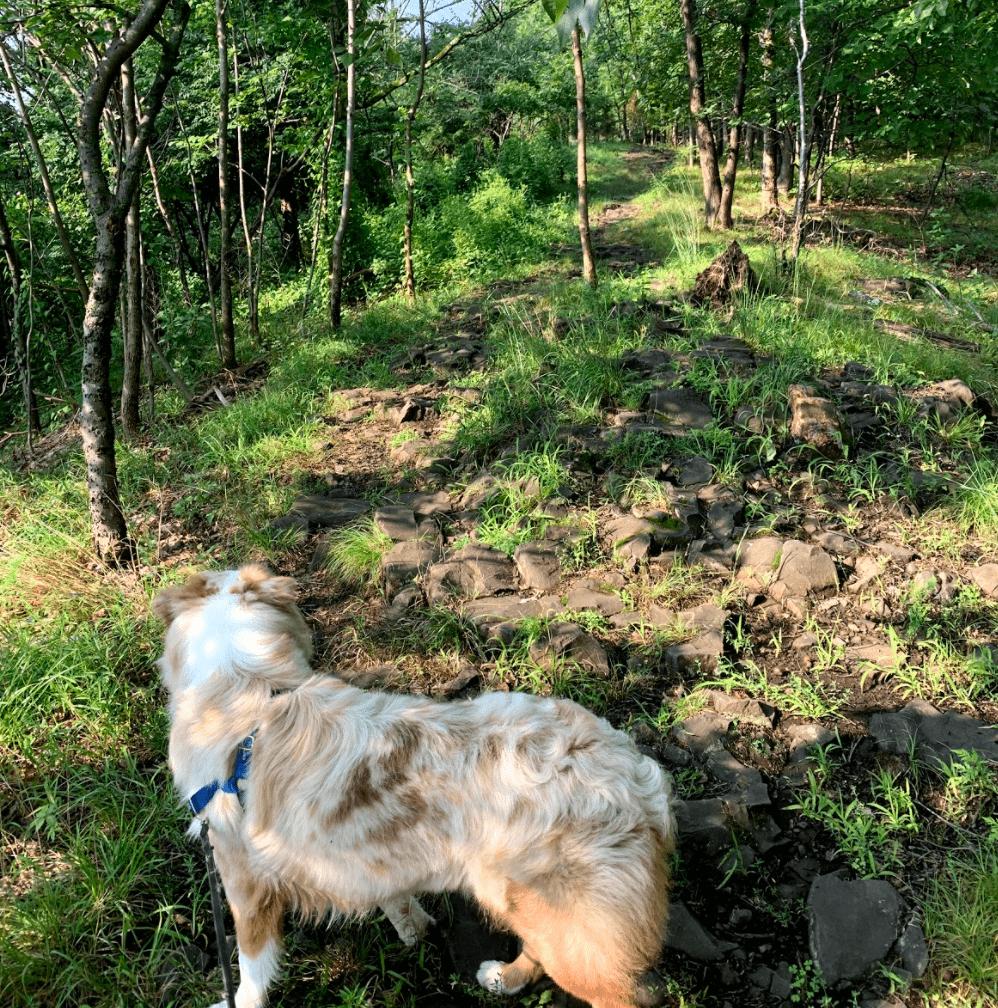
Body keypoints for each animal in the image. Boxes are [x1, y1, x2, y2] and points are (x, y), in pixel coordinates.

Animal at [152, 568, 677, 1008]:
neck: (248, 685)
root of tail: (632, 772)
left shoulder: (243, 880)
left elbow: (251, 969)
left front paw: (238, 1000)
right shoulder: (360, 858)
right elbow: (395, 897)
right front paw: (414, 929)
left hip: (571, 924)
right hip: (535, 909)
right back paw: (504, 976)